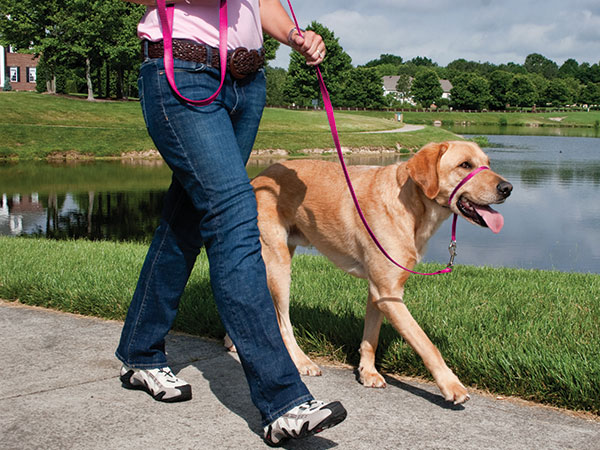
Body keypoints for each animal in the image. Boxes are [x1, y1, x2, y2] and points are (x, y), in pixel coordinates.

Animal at [227, 140, 512, 404]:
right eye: (465, 165)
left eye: (487, 163)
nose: (507, 188)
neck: (412, 206)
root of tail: (260, 176)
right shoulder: (389, 293)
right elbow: (425, 343)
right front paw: (451, 385)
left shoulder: (380, 290)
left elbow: (371, 336)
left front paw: (368, 372)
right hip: (278, 265)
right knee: (282, 322)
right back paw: (301, 361)